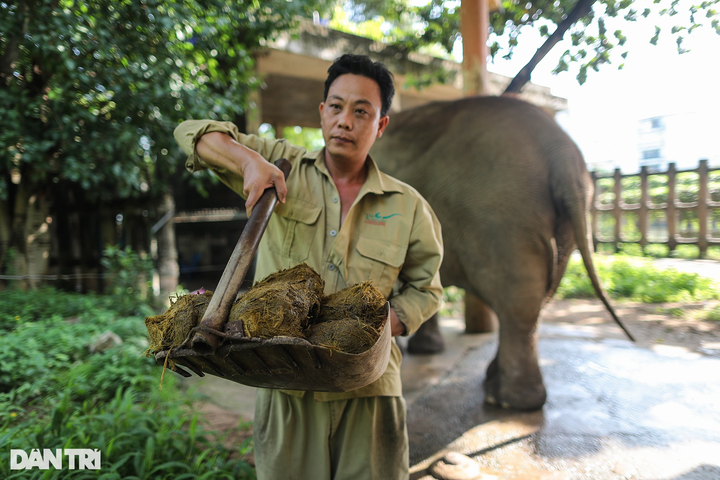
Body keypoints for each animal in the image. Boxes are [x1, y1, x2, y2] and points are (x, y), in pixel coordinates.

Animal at [370, 95, 629, 410]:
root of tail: (562, 152)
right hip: (555, 227)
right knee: (536, 298)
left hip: (504, 216)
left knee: (518, 303)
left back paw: (508, 400)